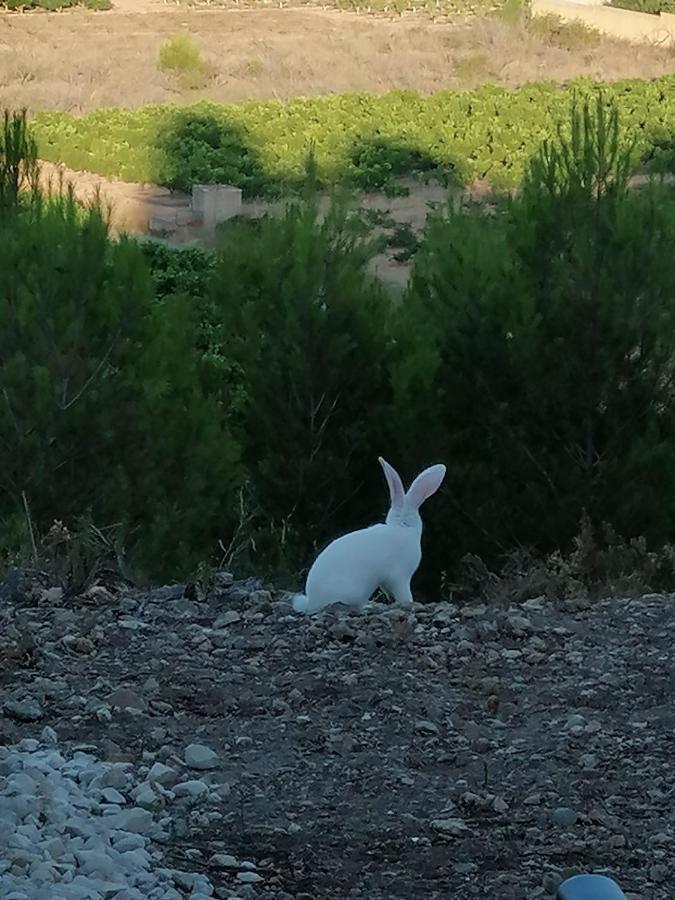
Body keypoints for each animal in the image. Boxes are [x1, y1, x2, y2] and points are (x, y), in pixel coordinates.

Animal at [294, 460, 446, 616]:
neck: (401, 527)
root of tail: (311, 602)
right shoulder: (400, 577)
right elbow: (403, 594)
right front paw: (410, 603)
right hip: (355, 593)